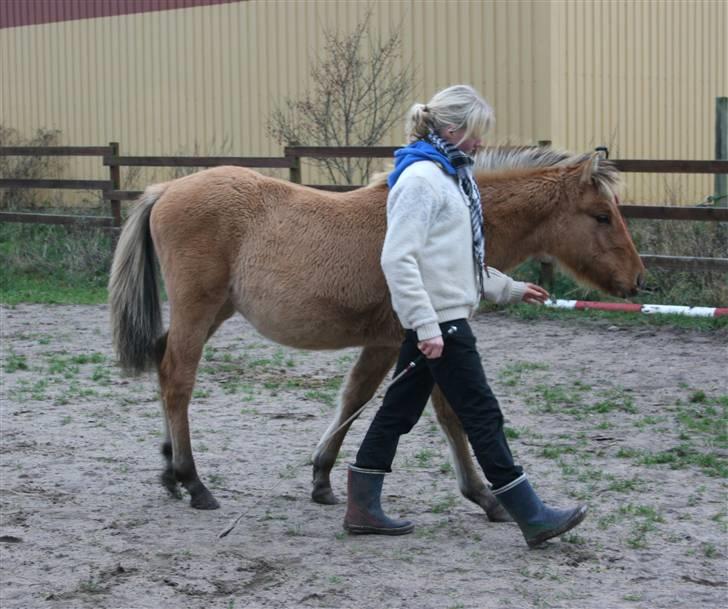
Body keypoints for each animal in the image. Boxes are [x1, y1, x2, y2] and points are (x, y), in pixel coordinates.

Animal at [108, 146, 644, 516]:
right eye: (602, 215)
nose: (637, 279)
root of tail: (166, 189)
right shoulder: (419, 338)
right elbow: (447, 414)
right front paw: (486, 497)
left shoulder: (391, 343)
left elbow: (355, 398)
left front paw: (322, 479)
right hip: (199, 308)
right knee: (179, 378)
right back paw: (193, 481)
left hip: (215, 311)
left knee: (163, 365)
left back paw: (169, 470)